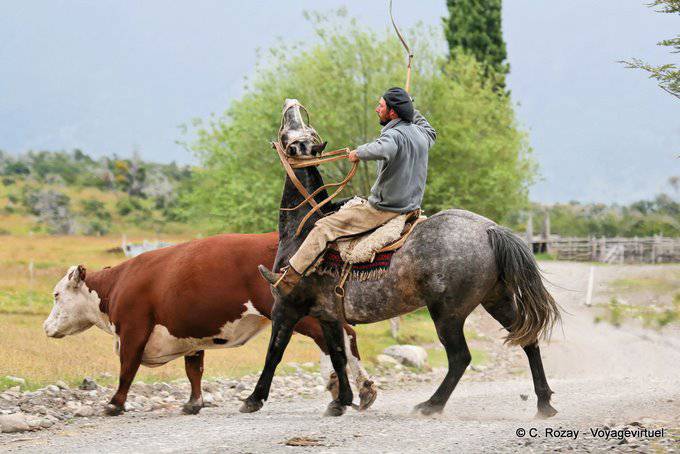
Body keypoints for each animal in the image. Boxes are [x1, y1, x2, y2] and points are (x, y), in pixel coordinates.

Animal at [43, 232, 376, 415]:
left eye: (56, 294)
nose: (46, 327)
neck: (117, 286)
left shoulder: (133, 330)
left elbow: (127, 369)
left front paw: (114, 404)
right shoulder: (188, 334)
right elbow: (194, 370)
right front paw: (194, 403)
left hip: (297, 313)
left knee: (340, 337)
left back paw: (348, 389)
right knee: (340, 336)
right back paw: (356, 390)